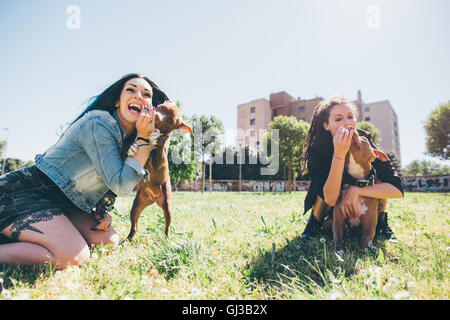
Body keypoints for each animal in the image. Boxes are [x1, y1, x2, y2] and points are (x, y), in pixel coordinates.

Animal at [125, 101, 192, 239]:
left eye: (171, 121)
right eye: (161, 107)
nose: (155, 116)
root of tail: (153, 199)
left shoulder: (159, 161)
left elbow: (159, 149)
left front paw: (158, 140)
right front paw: (130, 147)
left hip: (167, 206)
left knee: (167, 226)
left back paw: (166, 239)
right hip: (137, 204)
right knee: (134, 225)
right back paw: (128, 239)